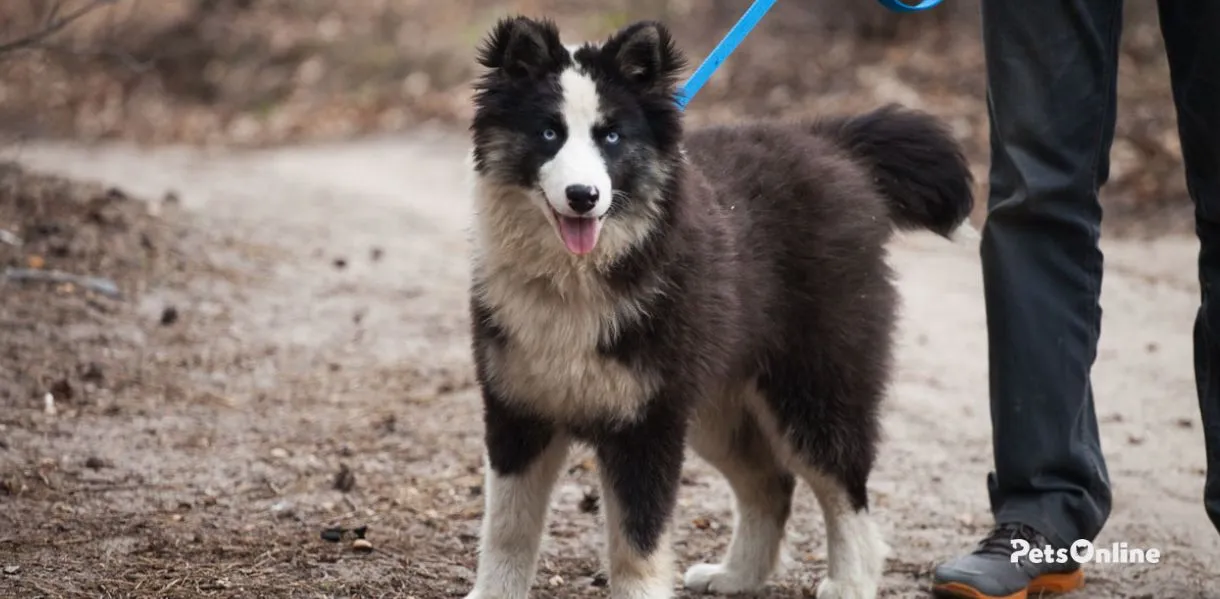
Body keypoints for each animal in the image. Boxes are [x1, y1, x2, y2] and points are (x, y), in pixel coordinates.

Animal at [461, 15, 976, 599]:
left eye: (611, 136)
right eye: (548, 133)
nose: (583, 196)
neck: (578, 278)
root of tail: (832, 145)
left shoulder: (647, 424)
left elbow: (637, 541)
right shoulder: (517, 411)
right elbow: (507, 527)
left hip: (814, 386)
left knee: (844, 489)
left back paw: (849, 581)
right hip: (719, 403)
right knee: (771, 482)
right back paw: (737, 575)